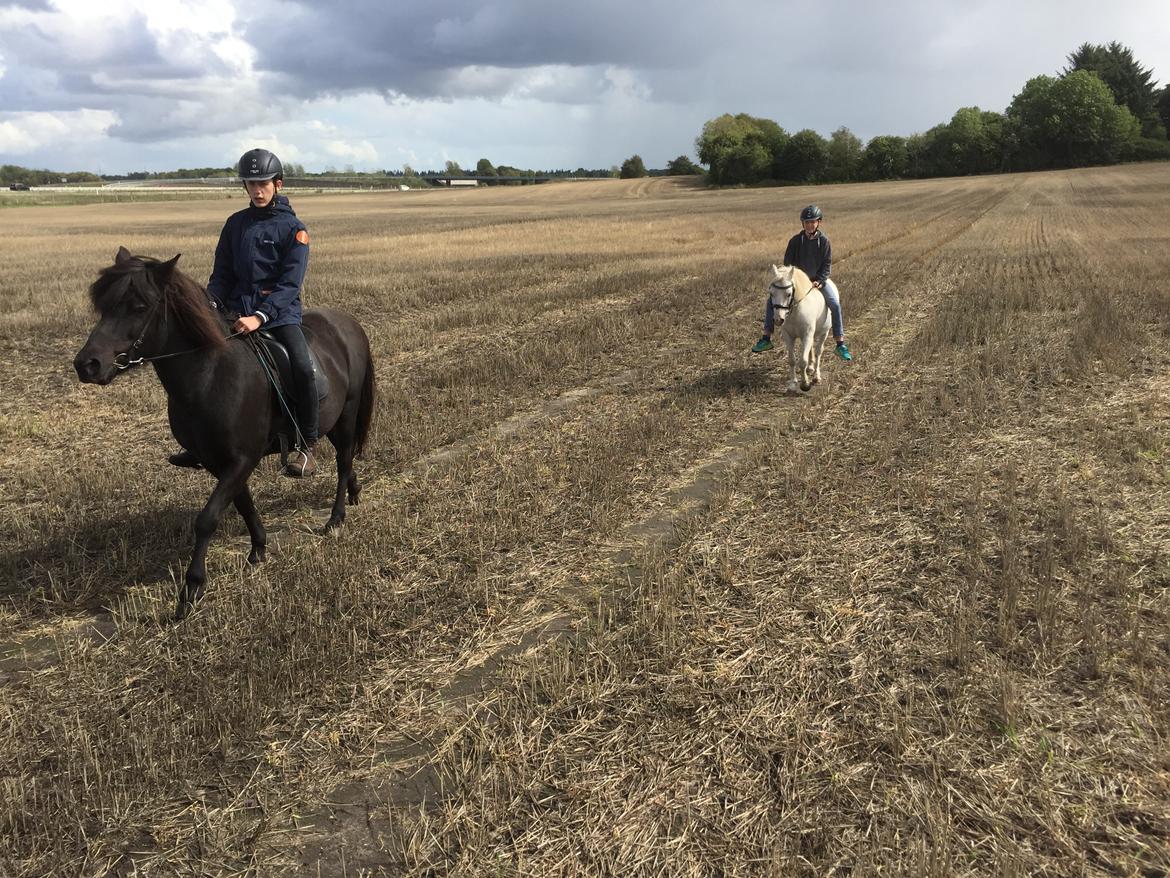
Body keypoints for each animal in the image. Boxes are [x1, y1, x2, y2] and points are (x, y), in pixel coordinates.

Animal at [74, 248, 374, 618]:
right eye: (103, 306)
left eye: (139, 307)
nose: (87, 365)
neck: (210, 375)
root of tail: (347, 323)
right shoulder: (218, 462)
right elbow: (243, 504)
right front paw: (258, 549)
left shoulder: (242, 459)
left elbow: (207, 519)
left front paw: (191, 590)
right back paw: (354, 492)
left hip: (347, 415)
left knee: (344, 462)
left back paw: (335, 519)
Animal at [767, 264, 833, 395]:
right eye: (771, 293)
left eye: (788, 294)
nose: (778, 319)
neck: (795, 312)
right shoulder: (788, 336)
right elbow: (792, 360)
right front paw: (793, 384)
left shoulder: (807, 334)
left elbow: (802, 361)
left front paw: (805, 385)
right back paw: (810, 368)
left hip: (824, 333)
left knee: (818, 352)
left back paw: (816, 377)